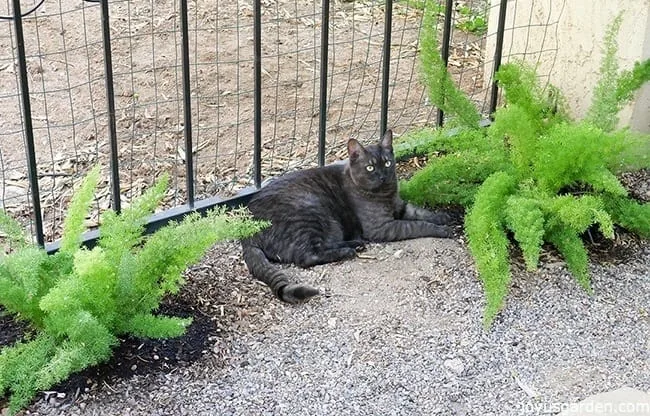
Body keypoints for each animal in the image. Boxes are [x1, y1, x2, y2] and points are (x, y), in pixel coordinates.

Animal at [239, 130, 450, 302]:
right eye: (370, 168)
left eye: (388, 163)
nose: (383, 176)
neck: (386, 194)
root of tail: (246, 232)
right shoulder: (381, 227)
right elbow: (416, 225)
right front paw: (443, 230)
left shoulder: (401, 207)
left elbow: (421, 212)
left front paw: (443, 218)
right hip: (310, 213)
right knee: (308, 256)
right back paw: (348, 251)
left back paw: (355, 245)